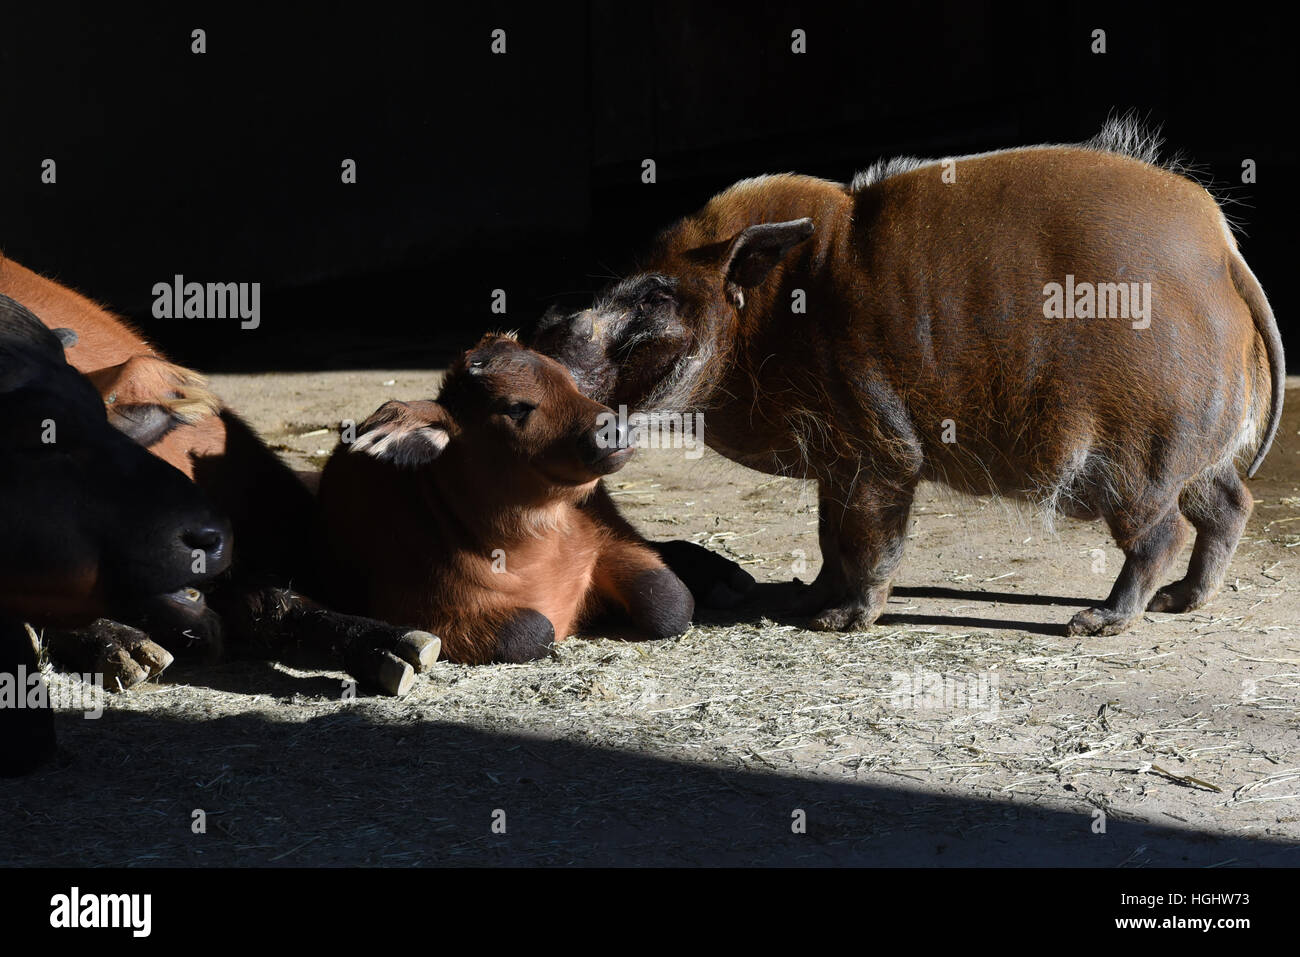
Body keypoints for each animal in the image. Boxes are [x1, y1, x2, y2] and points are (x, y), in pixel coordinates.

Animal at [318, 332, 696, 660]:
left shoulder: (610, 539)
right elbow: (531, 630)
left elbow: (672, 601)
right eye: (515, 408)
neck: (533, 555)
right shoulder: (415, 608)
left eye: (571, 383)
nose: (616, 429)